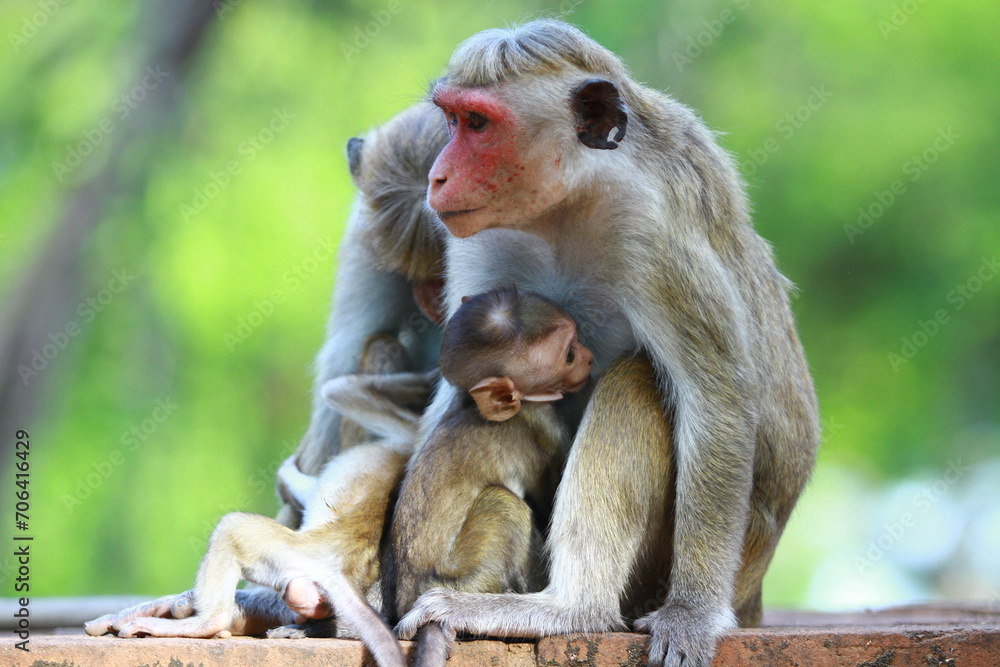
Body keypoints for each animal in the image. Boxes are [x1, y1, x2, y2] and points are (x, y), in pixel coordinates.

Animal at [385, 287, 592, 667]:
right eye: (569, 354)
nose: (588, 357)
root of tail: (410, 599)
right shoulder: (542, 428)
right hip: (468, 578)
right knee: (503, 504)